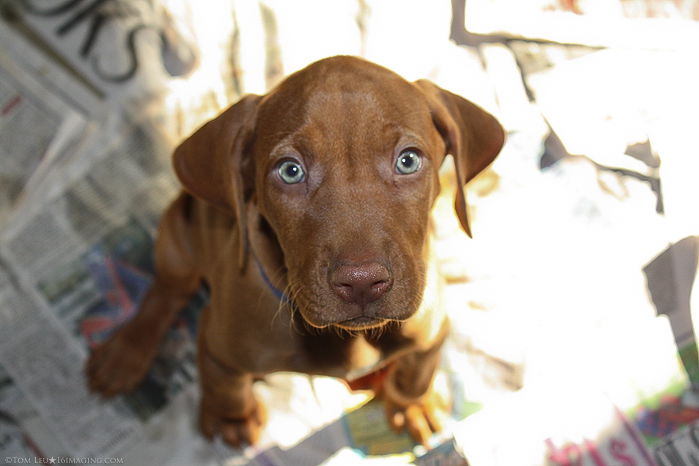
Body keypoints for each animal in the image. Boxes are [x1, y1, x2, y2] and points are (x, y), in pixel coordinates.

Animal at [86, 56, 504, 446]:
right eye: (290, 170)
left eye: (408, 160)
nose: (362, 283)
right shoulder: (218, 344)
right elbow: (226, 387)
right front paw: (232, 419)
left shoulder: (433, 328)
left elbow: (417, 372)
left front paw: (412, 405)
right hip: (178, 238)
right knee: (166, 293)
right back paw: (124, 355)